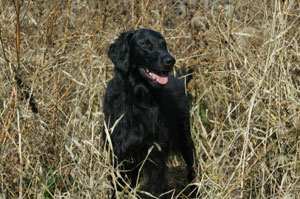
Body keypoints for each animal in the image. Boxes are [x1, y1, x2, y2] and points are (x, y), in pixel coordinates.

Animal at [103, 28, 197, 198]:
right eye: (145, 44)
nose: (170, 60)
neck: (138, 100)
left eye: (164, 44)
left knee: (192, 172)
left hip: (186, 141)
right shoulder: (118, 155)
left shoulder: (154, 155)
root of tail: (180, 81)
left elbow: (155, 188)